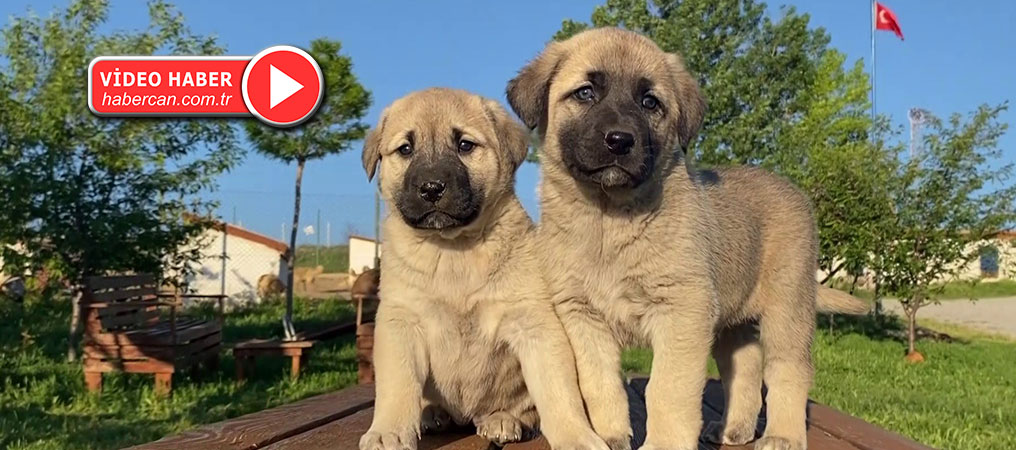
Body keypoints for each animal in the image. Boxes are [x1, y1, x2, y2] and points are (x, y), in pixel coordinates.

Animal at [359, 87, 605, 450]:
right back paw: (432, 413)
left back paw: (503, 419)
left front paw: (576, 436)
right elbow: (397, 387)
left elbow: (559, 391)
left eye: (465, 145)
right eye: (405, 149)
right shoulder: (401, 321)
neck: (452, 251)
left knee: (523, 409)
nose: (431, 187)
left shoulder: (534, 324)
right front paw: (387, 432)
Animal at [512, 28, 869, 450]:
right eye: (585, 93)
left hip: (787, 310)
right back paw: (735, 429)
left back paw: (782, 435)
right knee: (745, 369)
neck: (608, 221)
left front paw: (663, 443)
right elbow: (600, 384)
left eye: (650, 102)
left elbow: (667, 390)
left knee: (788, 370)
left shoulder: (683, 310)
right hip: (733, 324)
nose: (620, 140)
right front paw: (611, 434)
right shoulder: (583, 316)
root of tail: (792, 189)